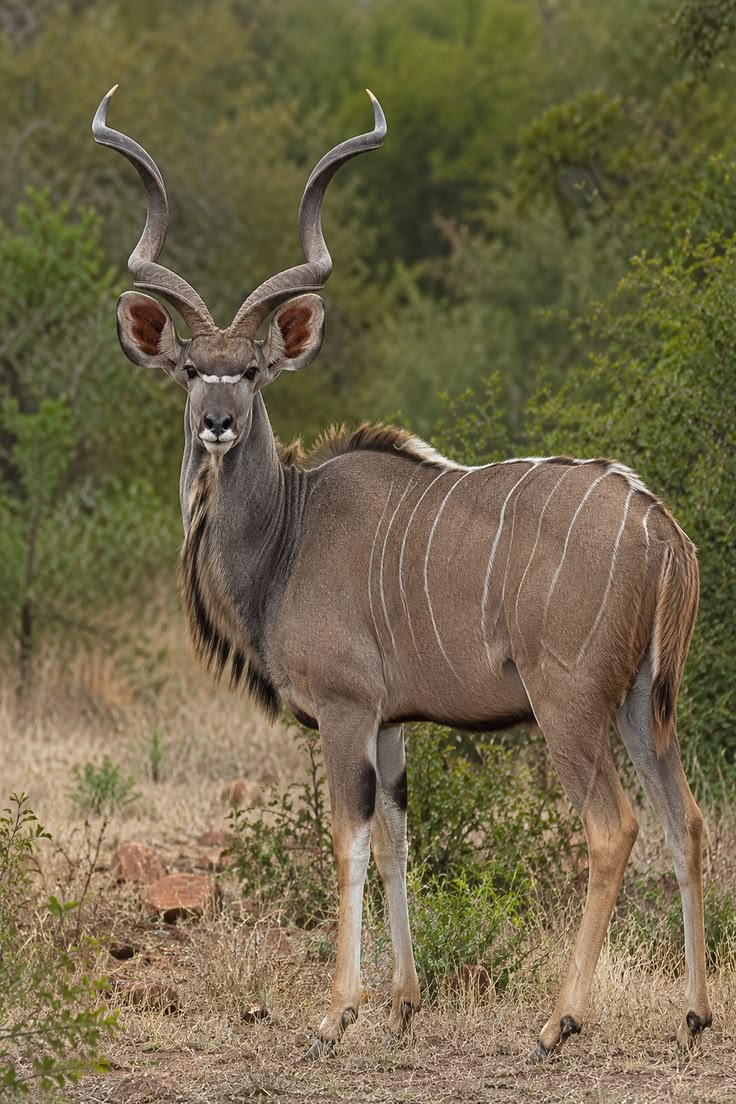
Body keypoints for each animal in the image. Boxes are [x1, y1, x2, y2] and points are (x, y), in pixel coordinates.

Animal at [93, 87, 711, 1061]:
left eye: (254, 370)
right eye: (192, 368)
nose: (219, 424)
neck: (289, 531)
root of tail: (661, 527)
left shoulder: (346, 712)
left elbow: (345, 841)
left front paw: (335, 1012)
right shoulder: (391, 725)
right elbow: (394, 841)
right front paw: (401, 1003)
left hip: (571, 705)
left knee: (614, 828)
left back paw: (559, 1020)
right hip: (645, 702)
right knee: (687, 821)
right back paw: (694, 1012)